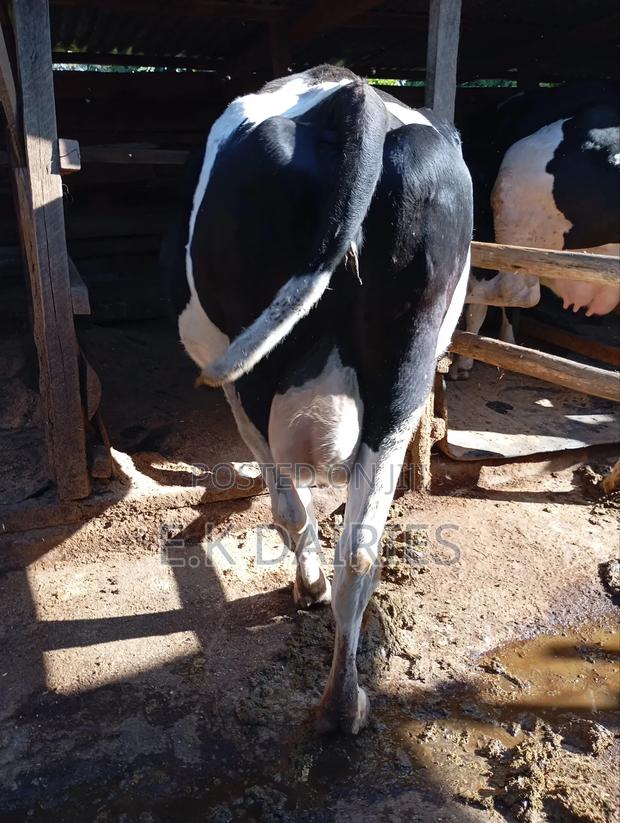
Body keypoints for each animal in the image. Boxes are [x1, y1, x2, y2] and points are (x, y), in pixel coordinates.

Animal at [168, 65, 473, 734]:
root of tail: (352, 97)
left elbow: (290, 502)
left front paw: (304, 589)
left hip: (250, 374)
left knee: (291, 506)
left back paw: (313, 604)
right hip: (404, 365)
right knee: (358, 547)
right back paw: (341, 704)